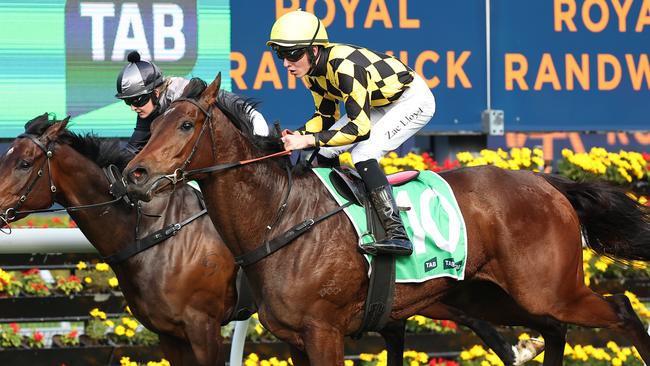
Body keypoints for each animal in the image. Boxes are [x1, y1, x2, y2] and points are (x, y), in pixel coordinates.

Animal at [123, 73, 648, 364]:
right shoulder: (294, 340)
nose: (135, 173)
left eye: (185, 124)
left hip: (550, 289)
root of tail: (546, 182)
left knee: (621, 308)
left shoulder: (323, 332)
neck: (279, 216)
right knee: (554, 330)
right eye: (150, 125)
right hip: (491, 295)